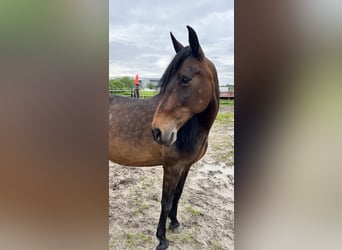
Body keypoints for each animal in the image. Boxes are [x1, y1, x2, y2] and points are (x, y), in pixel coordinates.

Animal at [109, 25, 219, 250]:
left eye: (185, 79)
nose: (158, 131)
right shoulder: (171, 167)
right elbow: (165, 200)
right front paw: (162, 238)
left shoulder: (186, 166)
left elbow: (177, 195)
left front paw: (174, 222)